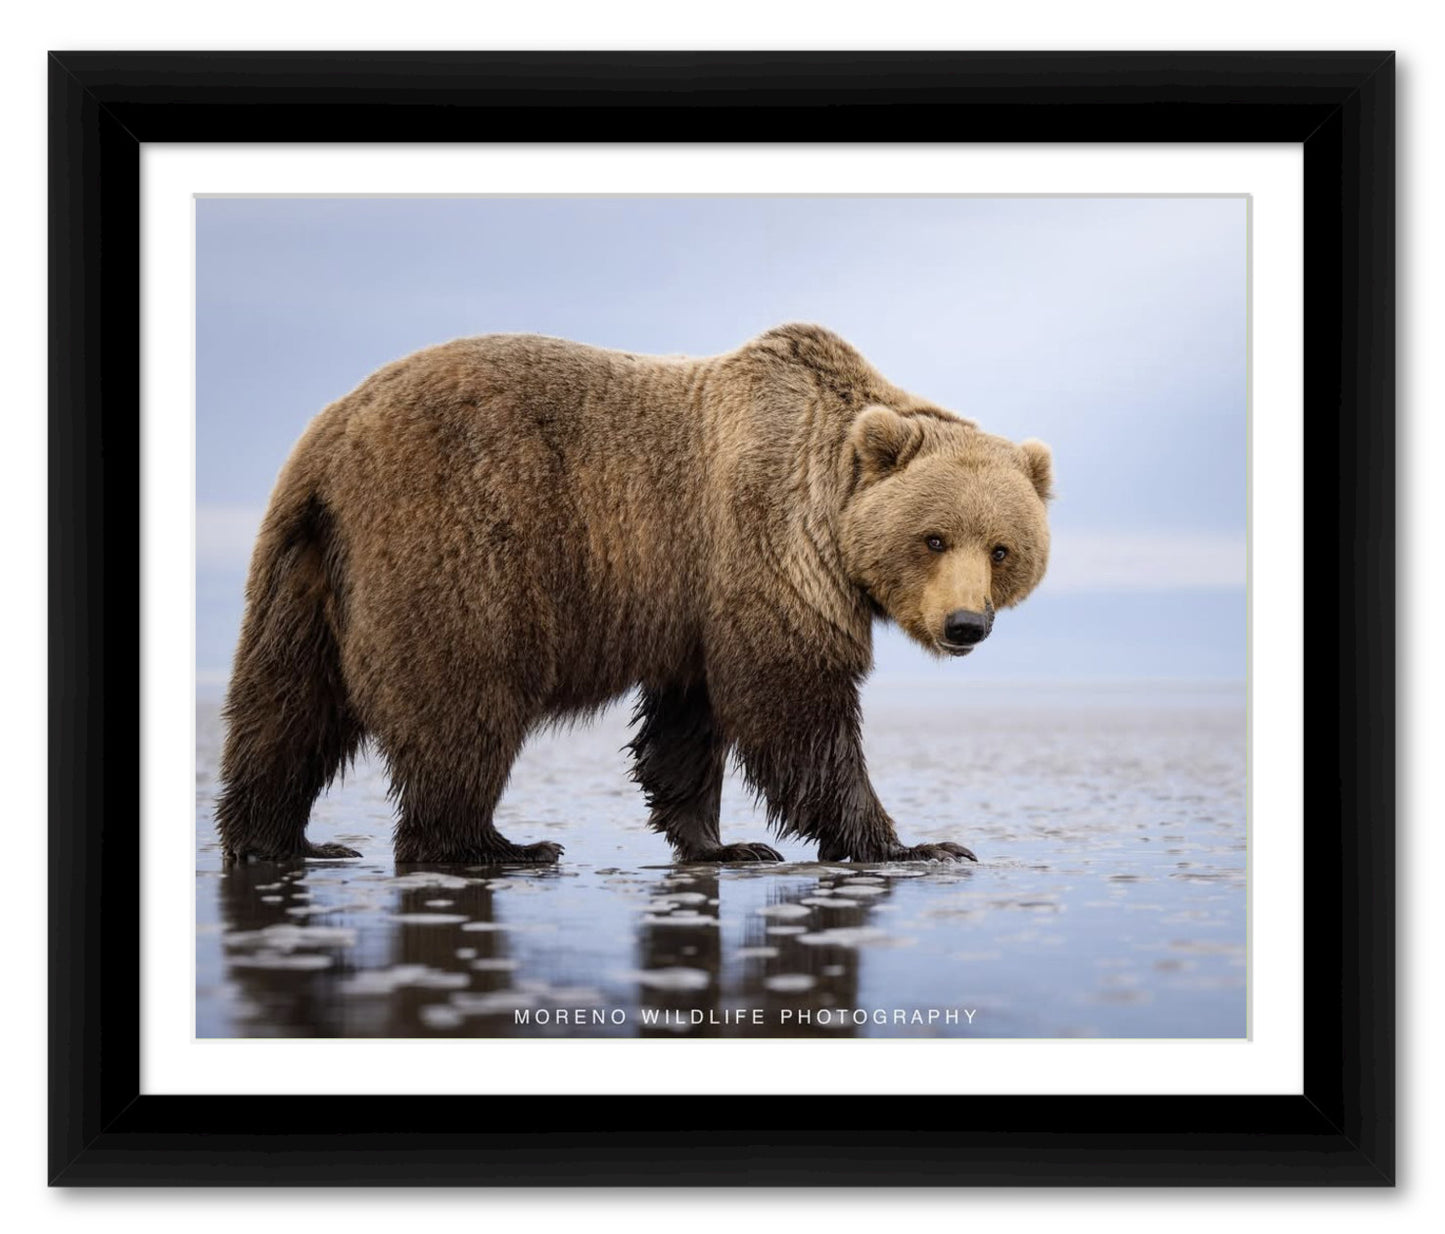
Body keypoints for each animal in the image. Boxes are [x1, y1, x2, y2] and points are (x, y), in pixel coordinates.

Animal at [216, 323, 1053, 866]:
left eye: (1002, 549)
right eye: (933, 538)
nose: (965, 624)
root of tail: (331, 440)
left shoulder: (693, 598)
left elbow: (689, 721)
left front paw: (721, 843)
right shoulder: (766, 546)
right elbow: (793, 703)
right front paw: (915, 845)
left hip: (304, 568)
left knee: (286, 706)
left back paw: (282, 840)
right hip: (454, 538)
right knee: (462, 700)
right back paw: (492, 845)